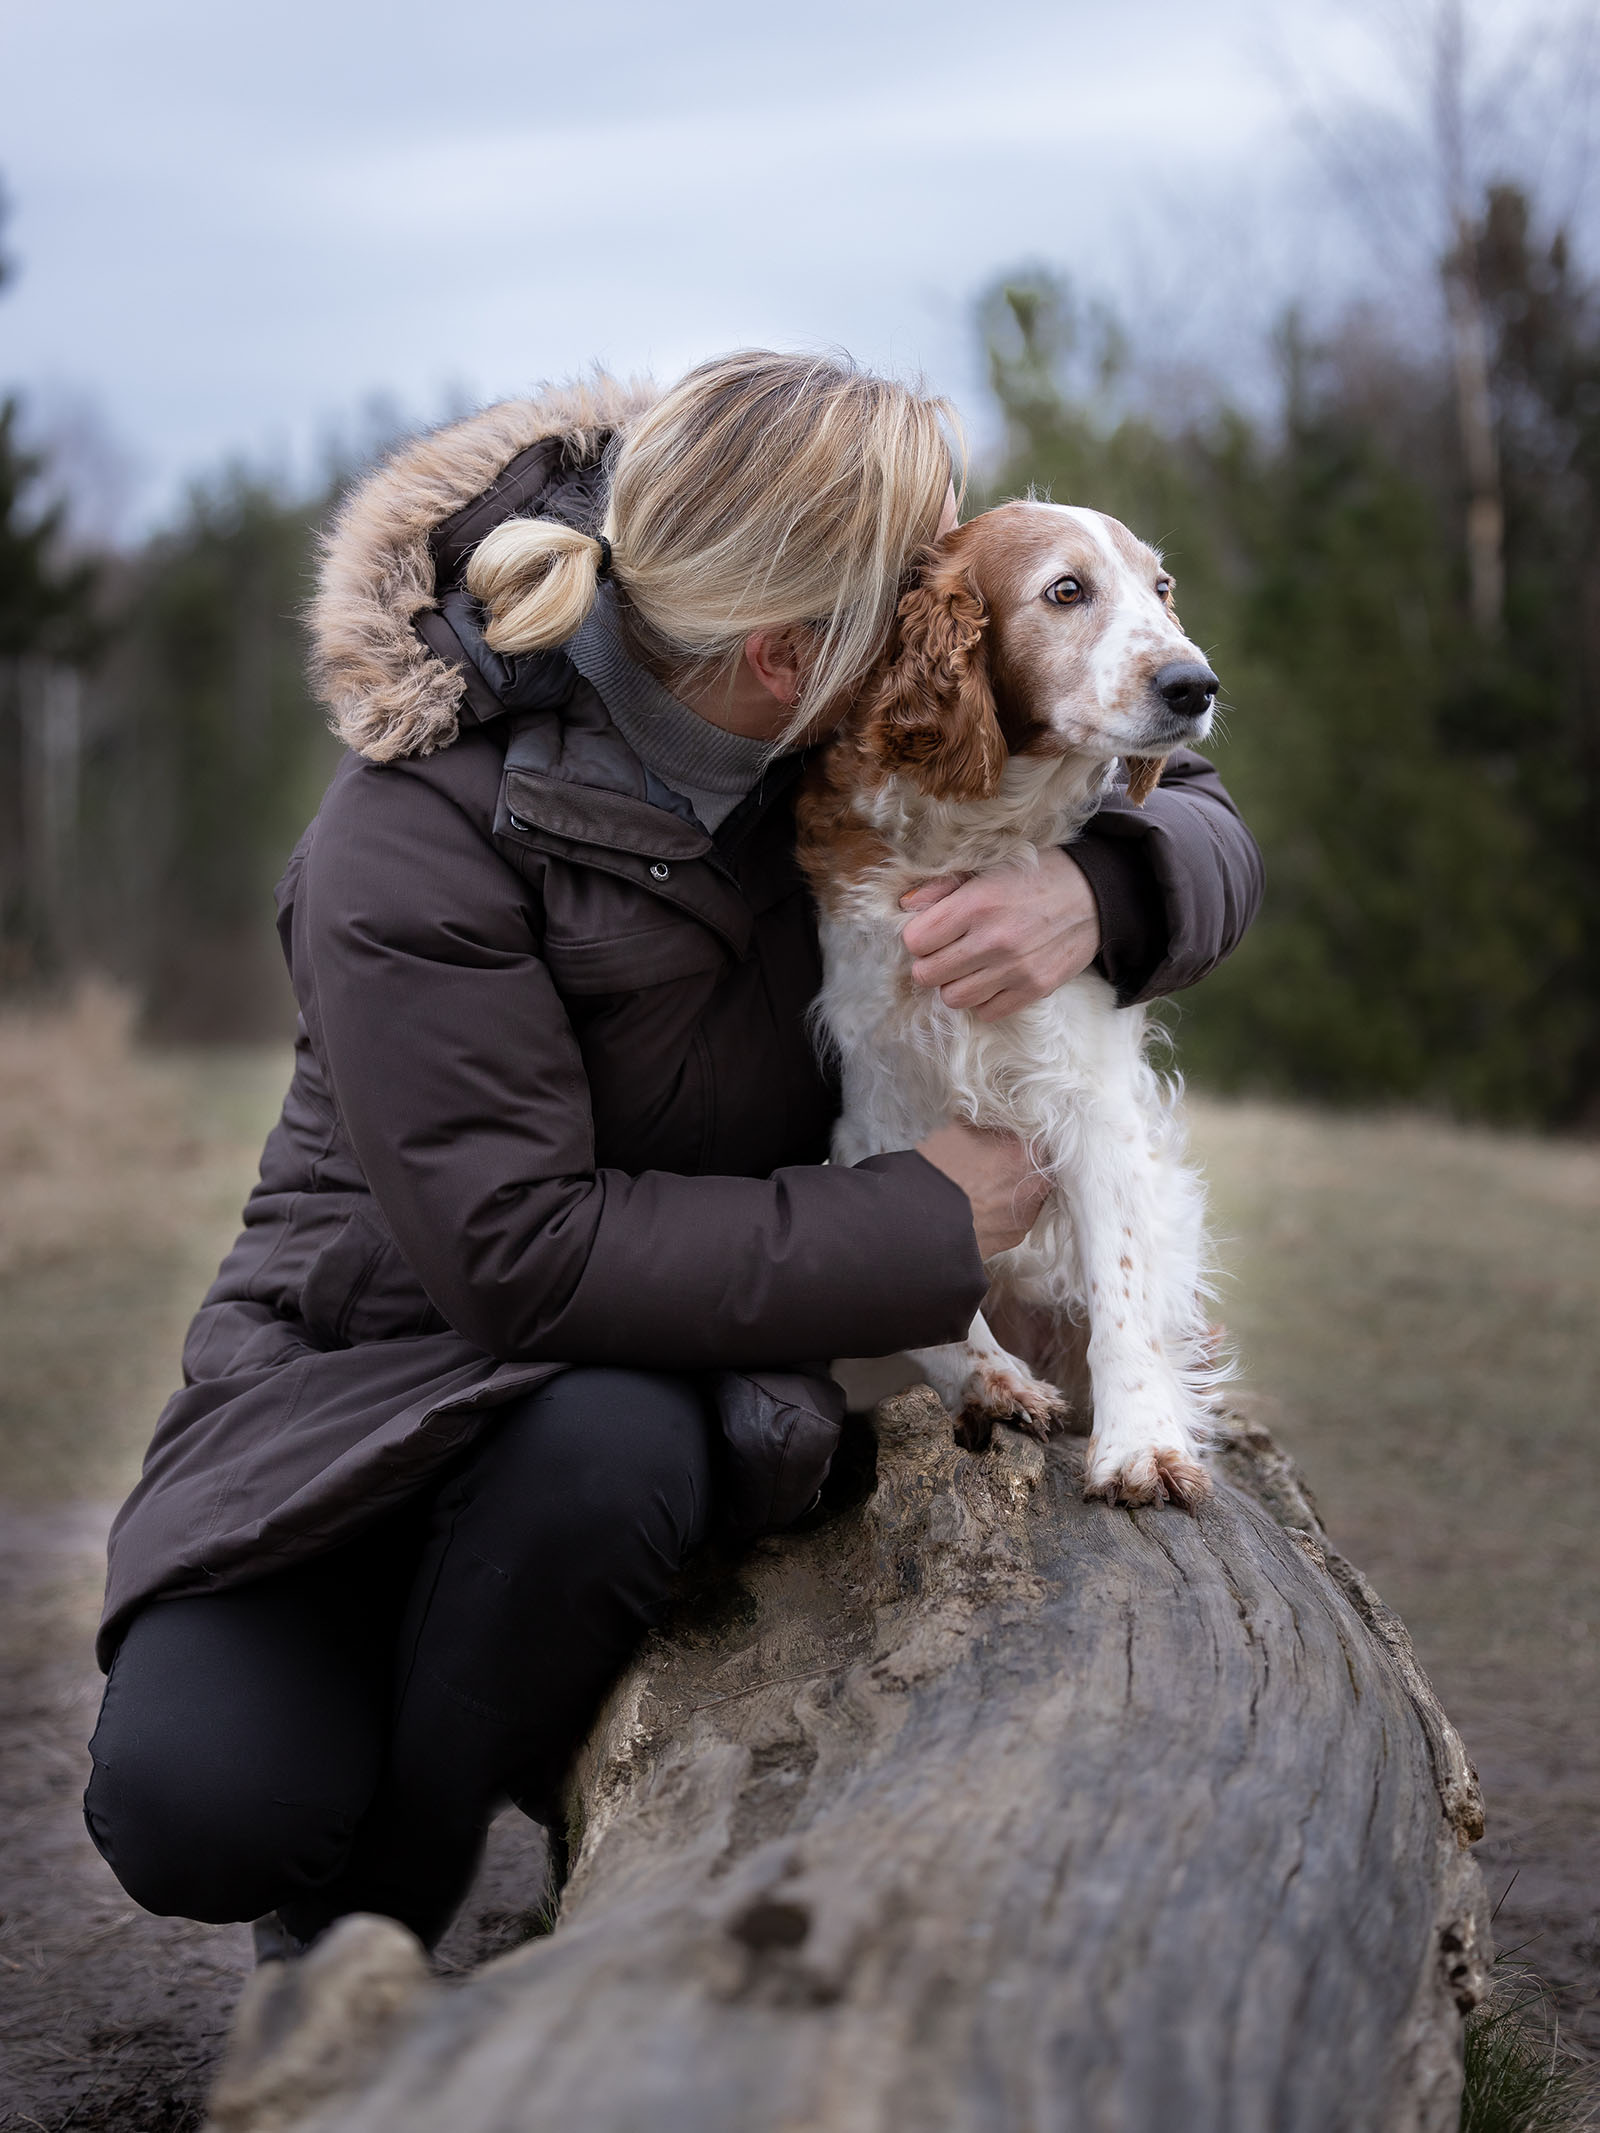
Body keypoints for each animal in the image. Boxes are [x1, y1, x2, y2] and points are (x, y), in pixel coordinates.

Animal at [802, 501, 1228, 1510]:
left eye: (1160, 587)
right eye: (1066, 590)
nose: (1194, 683)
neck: (975, 840)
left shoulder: (1094, 1102)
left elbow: (1121, 1288)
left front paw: (1142, 1444)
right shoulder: (880, 1101)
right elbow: (914, 1264)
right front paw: (987, 1378)